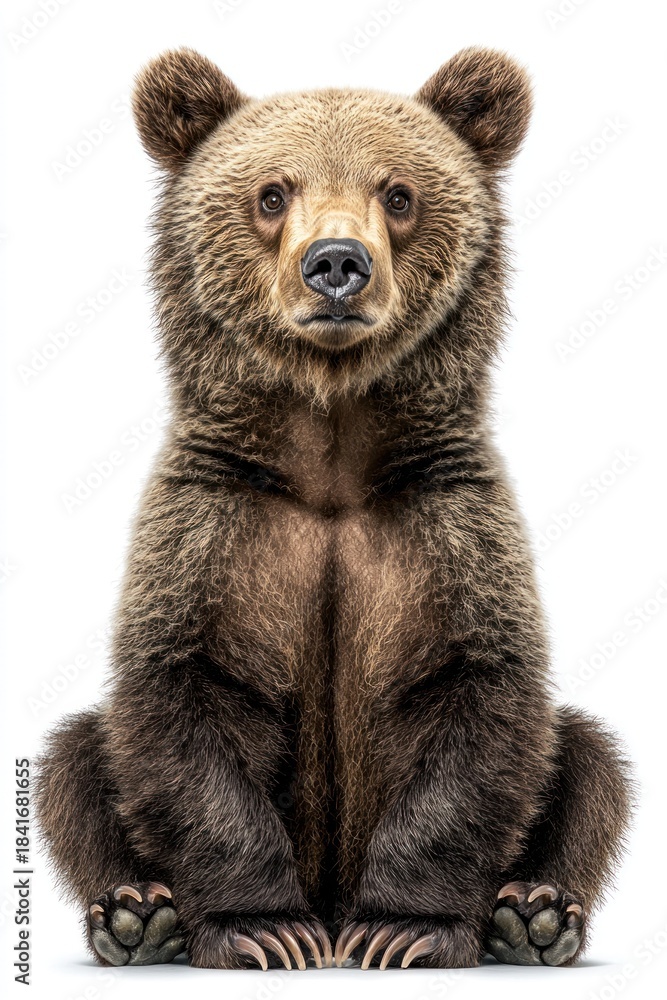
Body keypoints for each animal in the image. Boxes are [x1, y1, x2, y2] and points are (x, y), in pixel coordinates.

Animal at [35, 46, 632, 971]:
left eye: (399, 193)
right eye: (271, 193)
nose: (337, 263)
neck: (330, 457)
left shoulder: (446, 521)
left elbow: (485, 699)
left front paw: (404, 927)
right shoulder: (215, 521)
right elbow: (179, 698)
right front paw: (261, 927)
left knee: (588, 761)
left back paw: (532, 912)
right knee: (72, 763)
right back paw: (138, 913)